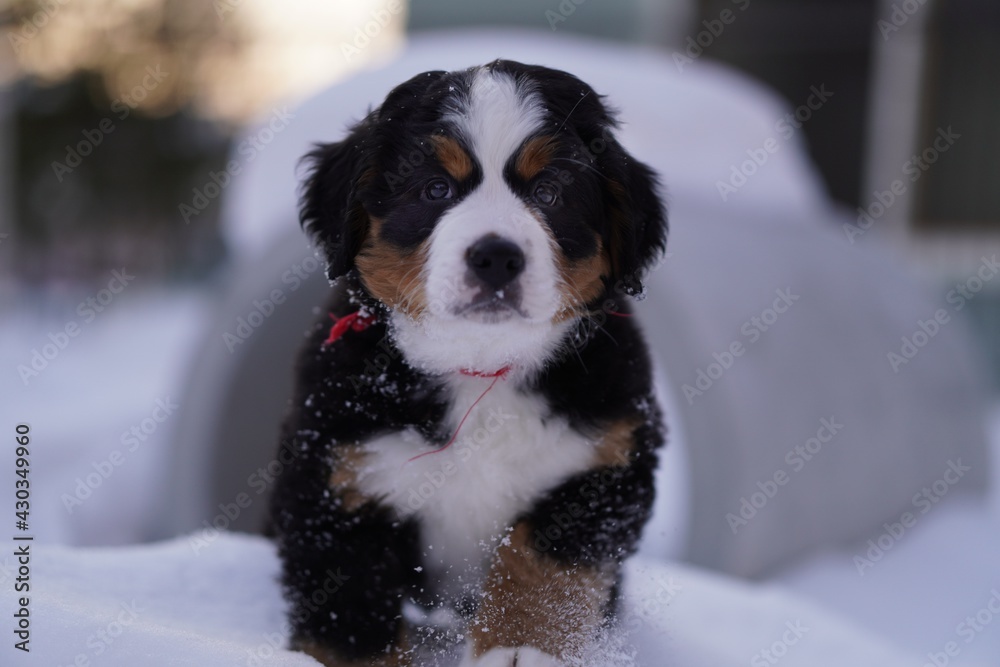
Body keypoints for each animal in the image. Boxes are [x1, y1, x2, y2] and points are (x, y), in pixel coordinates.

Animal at [270, 58, 668, 667]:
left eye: (549, 192)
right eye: (436, 189)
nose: (496, 257)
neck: (480, 369)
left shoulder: (603, 466)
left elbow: (543, 570)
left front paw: (519, 649)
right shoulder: (333, 480)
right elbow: (351, 615)